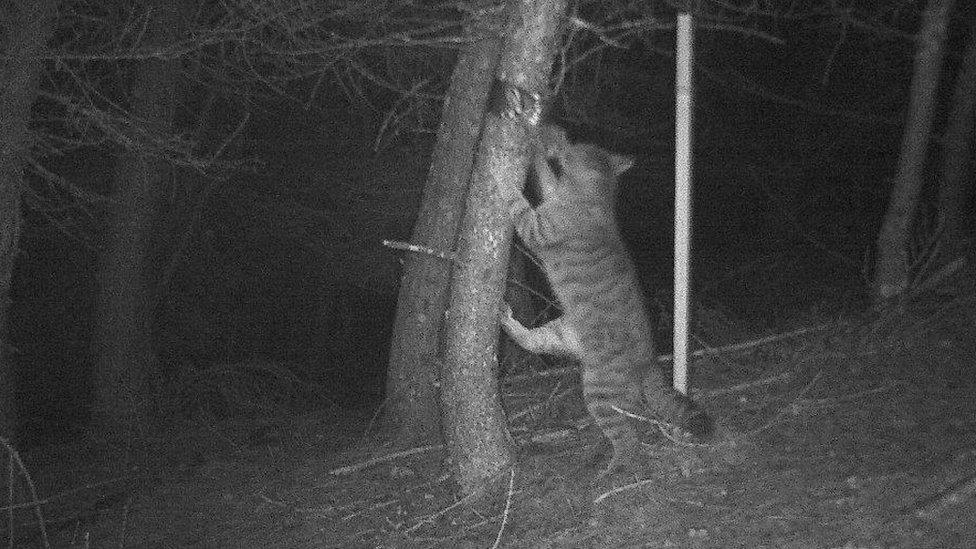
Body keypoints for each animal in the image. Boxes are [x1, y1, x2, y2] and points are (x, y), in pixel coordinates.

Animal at [500, 124, 712, 476]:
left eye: (575, 148)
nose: (564, 142)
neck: (596, 198)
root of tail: (650, 361)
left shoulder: (540, 227)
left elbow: (521, 207)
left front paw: (507, 184)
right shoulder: (551, 194)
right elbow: (545, 176)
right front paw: (539, 144)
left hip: (599, 391)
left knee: (627, 437)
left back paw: (615, 468)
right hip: (561, 332)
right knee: (531, 340)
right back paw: (506, 319)